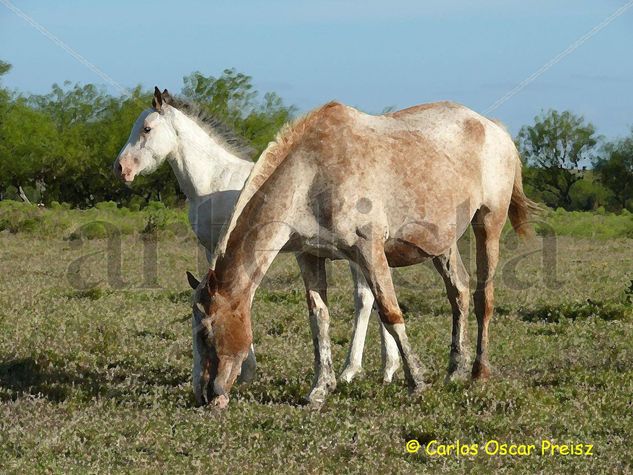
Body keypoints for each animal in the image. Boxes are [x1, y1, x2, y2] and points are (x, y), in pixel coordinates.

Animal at [194, 100, 540, 410]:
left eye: (207, 332)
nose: (206, 395)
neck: (312, 174)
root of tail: (493, 127)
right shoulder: (309, 256)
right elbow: (319, 319)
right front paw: (320, 389)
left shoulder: (369, 250)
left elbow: (390, 312)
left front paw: (416, 382)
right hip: (442, 243)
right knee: (460, 292)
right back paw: (455, 369)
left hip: (489, 224)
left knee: (484, 298)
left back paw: (479, 371)